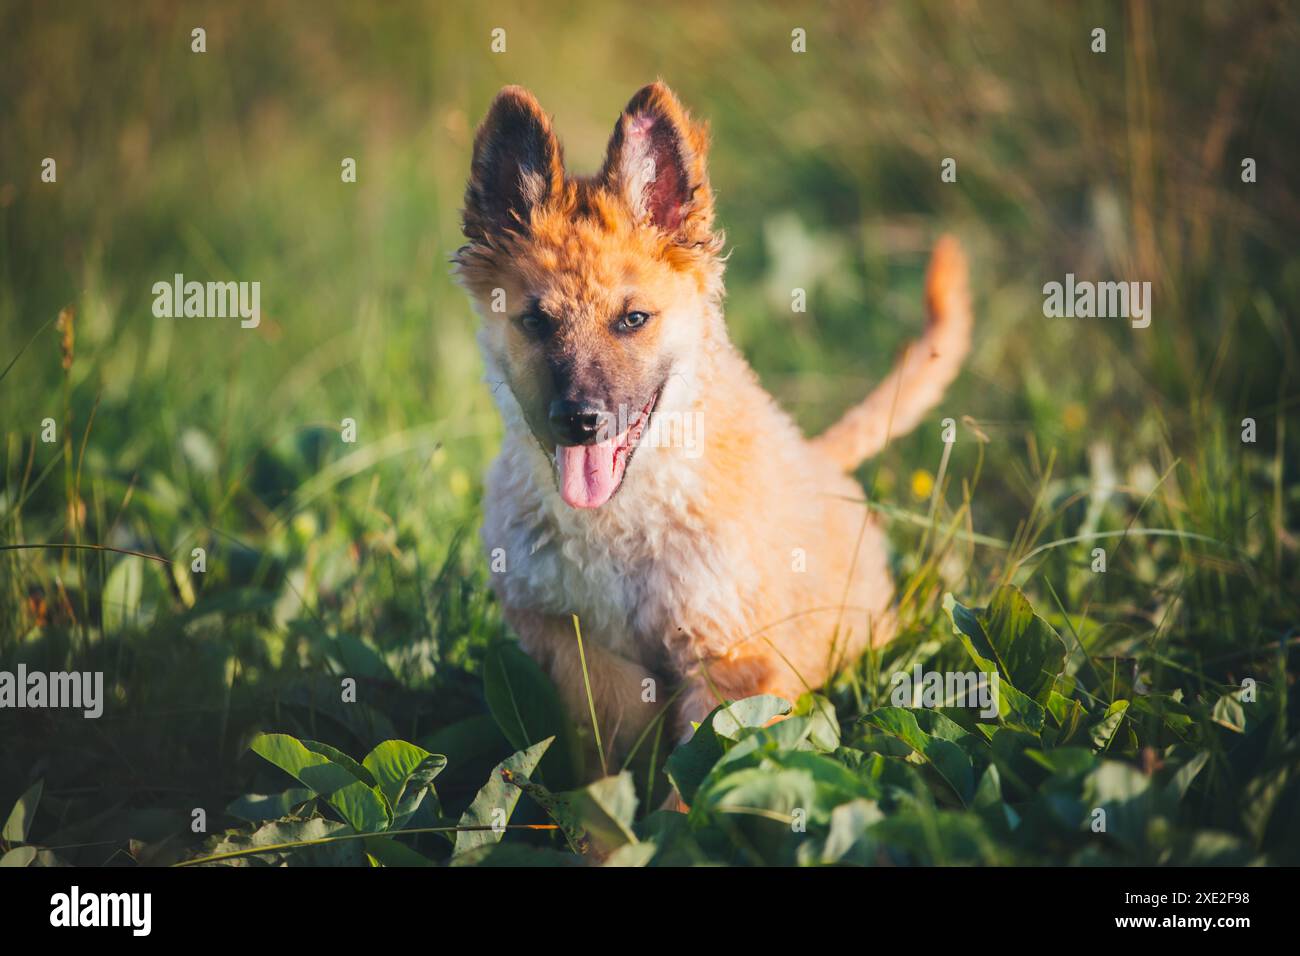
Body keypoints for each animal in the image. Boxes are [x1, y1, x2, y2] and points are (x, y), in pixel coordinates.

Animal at [457, 80, 977, 770]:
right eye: (536, 322)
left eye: (633, 319)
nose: (580, 422)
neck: (624, 523)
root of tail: (820, 458)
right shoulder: (566, 639)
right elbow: (611, 729)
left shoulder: (730, 662)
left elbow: (698, 774)